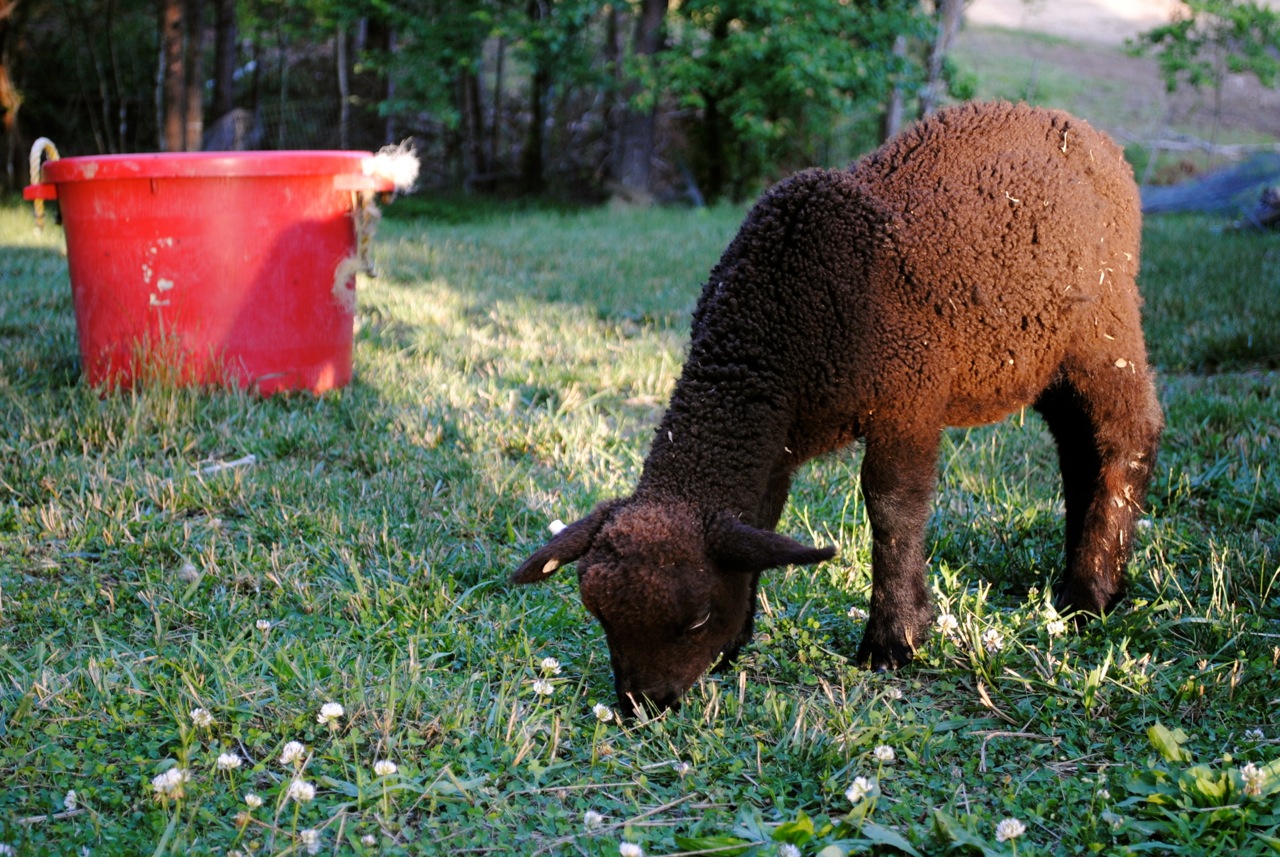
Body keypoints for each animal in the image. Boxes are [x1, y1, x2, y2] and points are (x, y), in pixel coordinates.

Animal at [512, 101, 1164, 716]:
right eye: (599, 617)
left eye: (694, 620)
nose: (641, 707)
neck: (775, 321)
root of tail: (1090, 135)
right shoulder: (778, 440)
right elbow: (762, 520)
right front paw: (738, 643)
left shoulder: (909, 398)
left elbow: (892, 506)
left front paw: (894, 640)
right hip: (1043, 355)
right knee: (1079, 448)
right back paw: (1081, 581)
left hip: (1104, 327)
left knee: (1128, 436)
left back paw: (1090, 595)